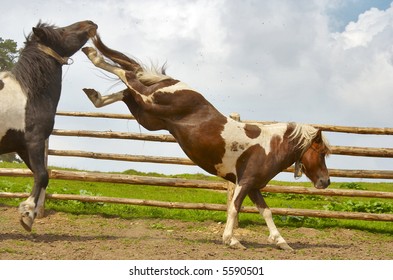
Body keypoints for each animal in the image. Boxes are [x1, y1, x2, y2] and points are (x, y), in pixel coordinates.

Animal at [81, 36, 330, 250]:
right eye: (321, 152)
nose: (326, 182)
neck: (269, 146)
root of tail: (173, 82)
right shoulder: (245, 183)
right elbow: (234, 209)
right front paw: (232, 240)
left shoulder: (253, 186)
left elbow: (266, 211)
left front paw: (281, 242)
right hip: (150, 102)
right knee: (129, 77)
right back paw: (91, 53)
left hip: (147, 115)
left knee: (126, 91)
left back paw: (94, 93)